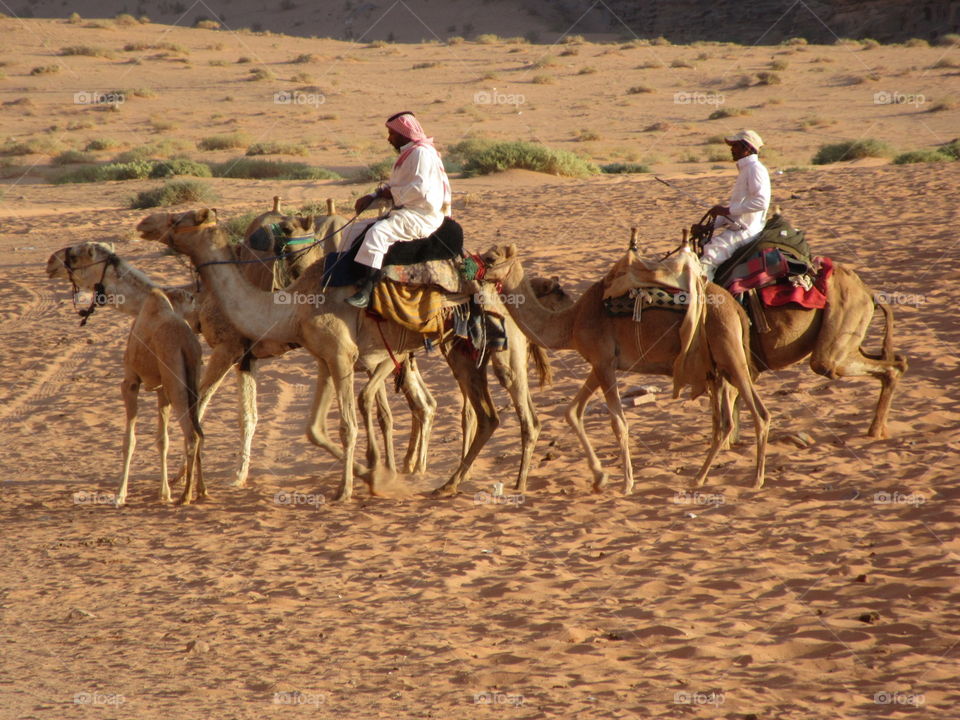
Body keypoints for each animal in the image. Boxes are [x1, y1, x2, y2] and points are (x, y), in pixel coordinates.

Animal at [136, 208, 518, 501]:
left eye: (179, 218)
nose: (145, 223)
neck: (291, 306)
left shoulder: (338, 353)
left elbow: (346, 425)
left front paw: (346, 489)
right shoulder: (323, 358)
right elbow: (314, 429)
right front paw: (373, 475)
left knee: (470, 409)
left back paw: (447, 480)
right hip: (456, 345)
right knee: (482, 415)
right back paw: (447, 482)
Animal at [477, 242, 771, 492]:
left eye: (490, 258)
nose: (472, 270)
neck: (571, 322)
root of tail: (736, 308)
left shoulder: (604, 363)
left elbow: (618, 423)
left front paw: (626, 483)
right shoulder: (599, 363)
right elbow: (572, 412)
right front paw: (600, 478)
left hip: (729, 352)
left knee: (759, 413)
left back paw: (756, 480)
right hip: (720, 365)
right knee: (725, 422)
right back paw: (699, 478)